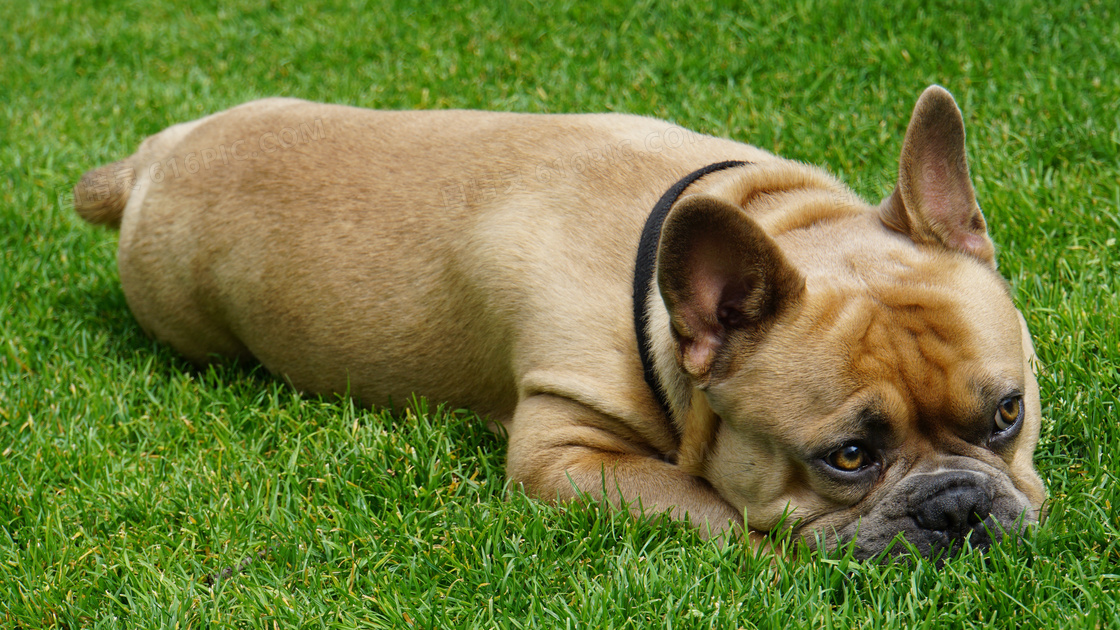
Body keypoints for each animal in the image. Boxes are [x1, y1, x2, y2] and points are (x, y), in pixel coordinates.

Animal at [74, 84, 1043, 558]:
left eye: (1009, 413)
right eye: (847, 457)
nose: (959, 506)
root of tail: (148, 160)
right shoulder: (566, 456)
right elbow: (707, 507)